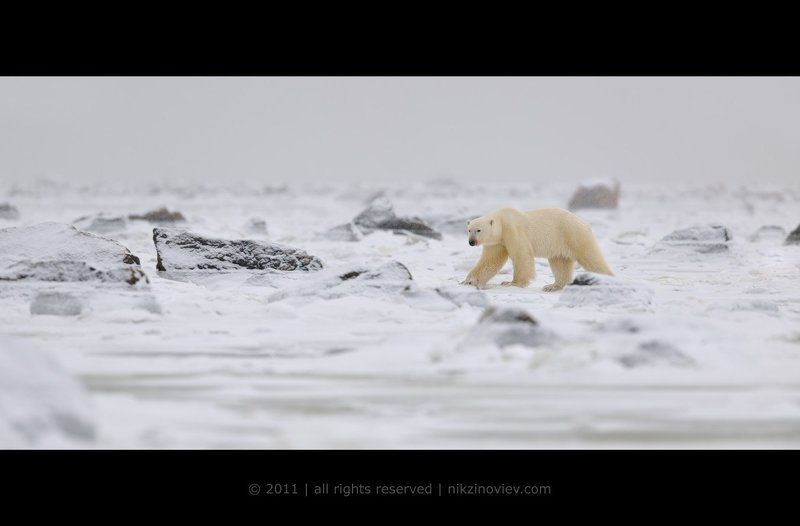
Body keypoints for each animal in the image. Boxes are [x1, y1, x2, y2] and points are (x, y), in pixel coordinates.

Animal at [461, 207, 613, 291]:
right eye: (469, 230)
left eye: (478, 230)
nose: (471, 242)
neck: (502, 221)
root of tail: (584, 222)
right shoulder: (498, 242)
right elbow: (490, 261)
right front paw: (468, 281)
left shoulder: (513, 230)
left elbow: (521, 255)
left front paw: (511, 283)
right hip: (560, 244)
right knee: (560, 264)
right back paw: (552, 286)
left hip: (573, 234)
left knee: (591, 258)